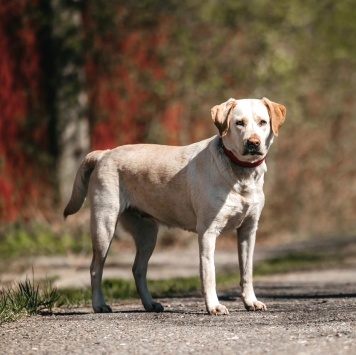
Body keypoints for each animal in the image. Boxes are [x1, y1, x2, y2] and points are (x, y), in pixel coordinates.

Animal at [64, 96, 286, 314]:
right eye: (239, 123)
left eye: (262, 122)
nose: (253, 142)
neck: (241, 175)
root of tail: (104, 153)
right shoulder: (208, 231)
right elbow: (209, 272)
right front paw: (214, 306)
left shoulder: (248, 230)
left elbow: (247, 271)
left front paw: (251, 301)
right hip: (104, 226)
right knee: (95, 268)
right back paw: (99, 304)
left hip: (147, 233)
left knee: (138, 269)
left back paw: (150, 304)